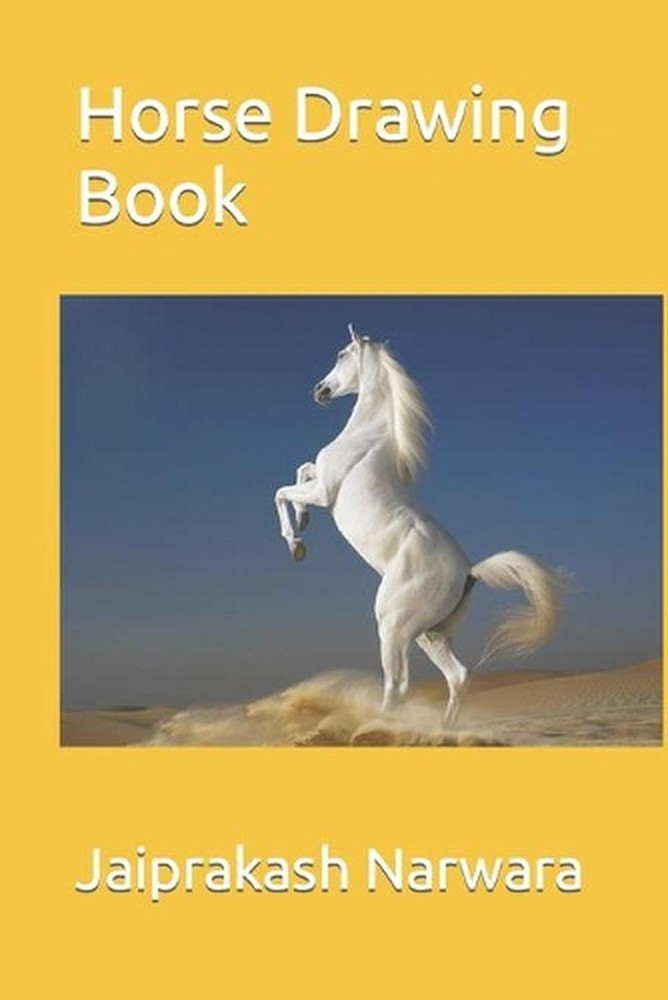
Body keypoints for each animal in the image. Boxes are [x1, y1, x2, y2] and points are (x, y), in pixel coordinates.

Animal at [274, 325, 561, 724]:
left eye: (342, 354)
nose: (320, 390)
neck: (368, 437)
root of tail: (469, 572)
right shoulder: (319, 483)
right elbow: (301, 470)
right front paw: (302, 521)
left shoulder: (325, 492)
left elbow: (283, 491)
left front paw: (296, 542)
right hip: (430, 634)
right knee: (458, 677)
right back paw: (443, 730)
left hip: (393, 625)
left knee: (399, 685)